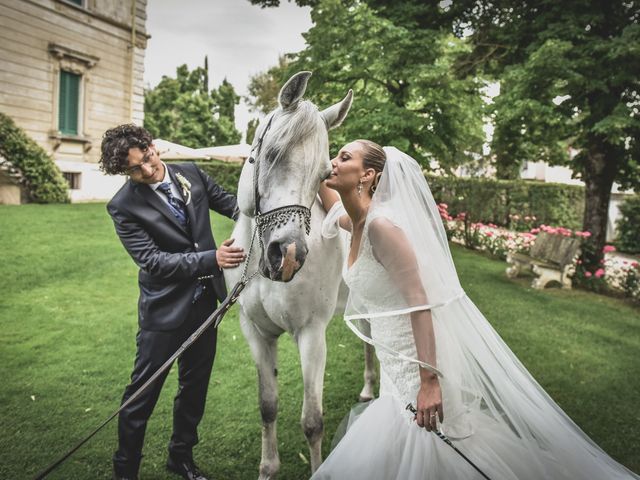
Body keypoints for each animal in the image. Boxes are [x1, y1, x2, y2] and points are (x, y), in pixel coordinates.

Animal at [225, 72, 376, 480]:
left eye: (325, 174)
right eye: (271, 154)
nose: (289, 255)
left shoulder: (311, 335)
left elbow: (312, 421)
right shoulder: (256, 334)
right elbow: (267, 406)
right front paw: (267, 468)